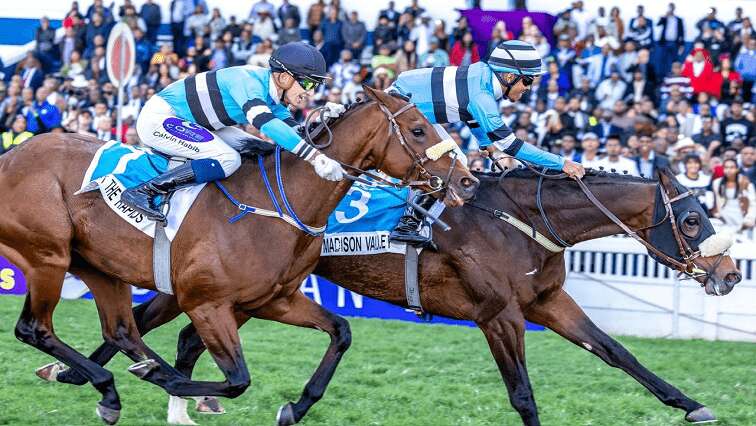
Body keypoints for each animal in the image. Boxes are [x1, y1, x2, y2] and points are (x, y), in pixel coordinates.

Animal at [1, 85, 478, 424]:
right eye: (419, 129)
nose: (468, 180)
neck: (281, 203)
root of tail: (14, 153)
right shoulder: (207, 304)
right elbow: (237, 380)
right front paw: (179, 389)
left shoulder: (273, 300)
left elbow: (340, 331)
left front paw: (294, 407)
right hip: (48, 256)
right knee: (35, 328)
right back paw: (121, 379)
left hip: (99, 266)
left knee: (122, 330)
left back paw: (110, 384)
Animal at [39, 168, 740, 424]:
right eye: (694, 220)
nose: (731, 275)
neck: (519, 221)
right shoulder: (499, 316)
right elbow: (522, 393)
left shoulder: (547, 305)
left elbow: (621, 354)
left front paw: (691, 404)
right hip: (223, 287)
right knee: (145, 319)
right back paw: (80, 375)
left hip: (250, 294)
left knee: (174, 332)